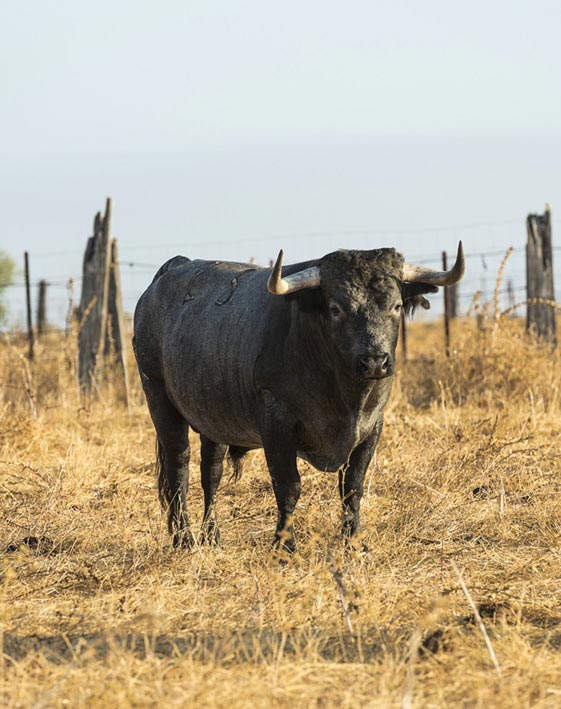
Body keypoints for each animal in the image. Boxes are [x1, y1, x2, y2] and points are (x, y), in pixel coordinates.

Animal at [132, 243, 464, 548]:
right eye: (336, 308)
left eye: (395, 306)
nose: (374, 361)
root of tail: (170, 270)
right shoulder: (275, 422)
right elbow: (288, 485)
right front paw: (284, 545)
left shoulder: (372, 427)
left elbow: (353, 486)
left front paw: (353, 541)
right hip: (159, 400)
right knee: (178, 469)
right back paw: (184, 540)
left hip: (213, 420)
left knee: (210, 473)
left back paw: (211, 536)